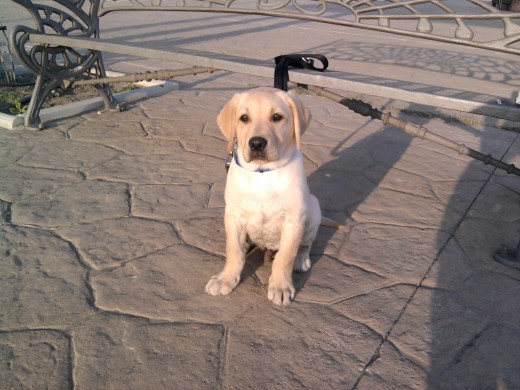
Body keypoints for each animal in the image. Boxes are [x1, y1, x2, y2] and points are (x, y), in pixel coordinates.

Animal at [204, 87, 320, 306]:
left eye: (276, 117)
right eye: (244, 118)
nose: (257, 143)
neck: (262, 173)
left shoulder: (293, 221)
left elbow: (285, 256)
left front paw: (281, 286)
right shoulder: (233, 216)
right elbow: (233, 251)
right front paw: (226, 279)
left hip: (314, 208)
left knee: (304, 244)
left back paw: (301, 259)